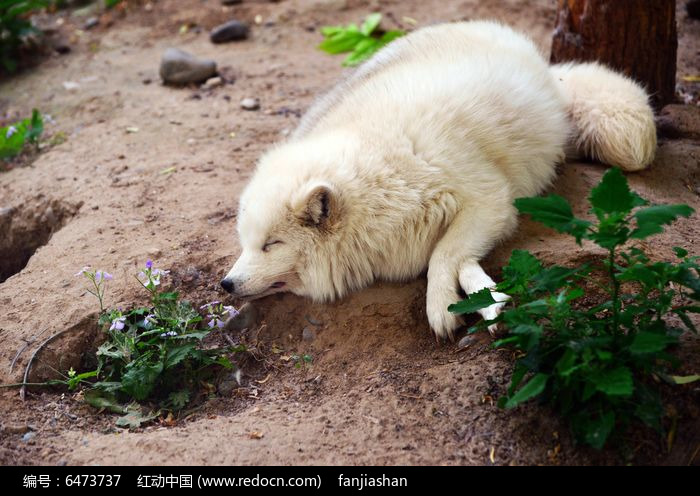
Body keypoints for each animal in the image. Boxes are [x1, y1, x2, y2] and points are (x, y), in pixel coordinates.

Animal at [221, 20, 660, 340]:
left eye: (271, 244)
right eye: (246, 242)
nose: (226, 283)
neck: (378, 176)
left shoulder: (489, 199)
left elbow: (443, 254)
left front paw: (443, 307)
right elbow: (454, 256)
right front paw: (485, 298)